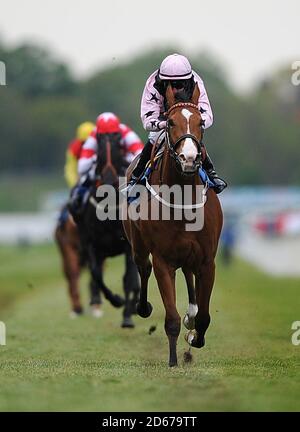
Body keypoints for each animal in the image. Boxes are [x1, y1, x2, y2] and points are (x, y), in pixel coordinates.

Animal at [75, 132, 141, 328]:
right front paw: (116, 300)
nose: (110, 181)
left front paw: (127, 316)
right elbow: (96, 274)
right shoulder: (91, 244)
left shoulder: (128, 246)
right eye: (100, 154)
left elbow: (129, 279)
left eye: (119, 149)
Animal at [123, 85, 224, 368]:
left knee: (189, 281)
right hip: (137, 245)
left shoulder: (207, 262)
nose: (189, 159)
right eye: (169, 122)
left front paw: (194, 337)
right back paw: (143, 307)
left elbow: (204, 316)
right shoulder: (163, 261)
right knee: (143, 267)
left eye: (201, 122)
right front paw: (172, 360)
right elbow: (171, 318)